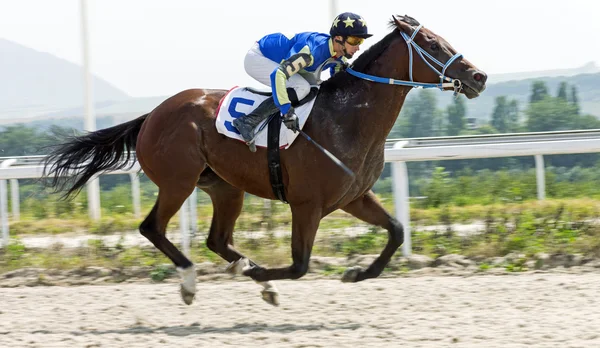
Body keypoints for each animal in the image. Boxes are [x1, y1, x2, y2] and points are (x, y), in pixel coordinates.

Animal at [45, 14, 488, 306]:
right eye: (433, 45)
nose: (479, 77)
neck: (348, 117)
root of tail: (152, 114)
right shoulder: (307, 204)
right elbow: (300, 264)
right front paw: (262, 274)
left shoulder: (353, 197)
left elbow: (396, 230)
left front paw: (357, 273)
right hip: (178, 181)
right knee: (152, 227)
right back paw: (194, 281)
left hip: (224, 187)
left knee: (217, 239)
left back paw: (250, 275)